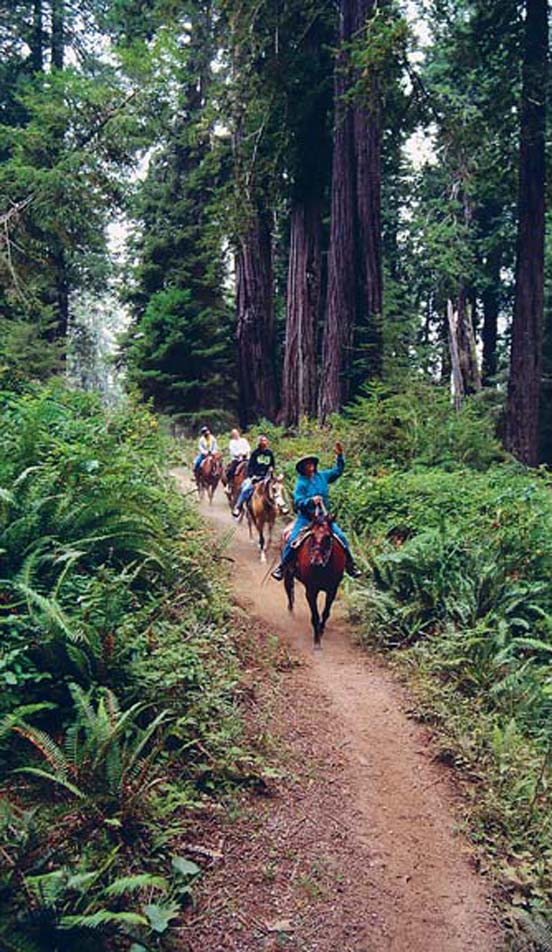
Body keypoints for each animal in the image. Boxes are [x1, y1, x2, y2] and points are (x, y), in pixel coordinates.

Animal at [284, 516, 344, 652]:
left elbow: (325, 613)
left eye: (327, 537)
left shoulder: (332, 590)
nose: (316, 561)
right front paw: (317, 642)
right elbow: (315, 616)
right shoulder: (311, 591)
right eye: (312, 535)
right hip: (288, 573)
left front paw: (321, 631)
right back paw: (290, 611)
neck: (323, 568)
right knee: (289, 590)